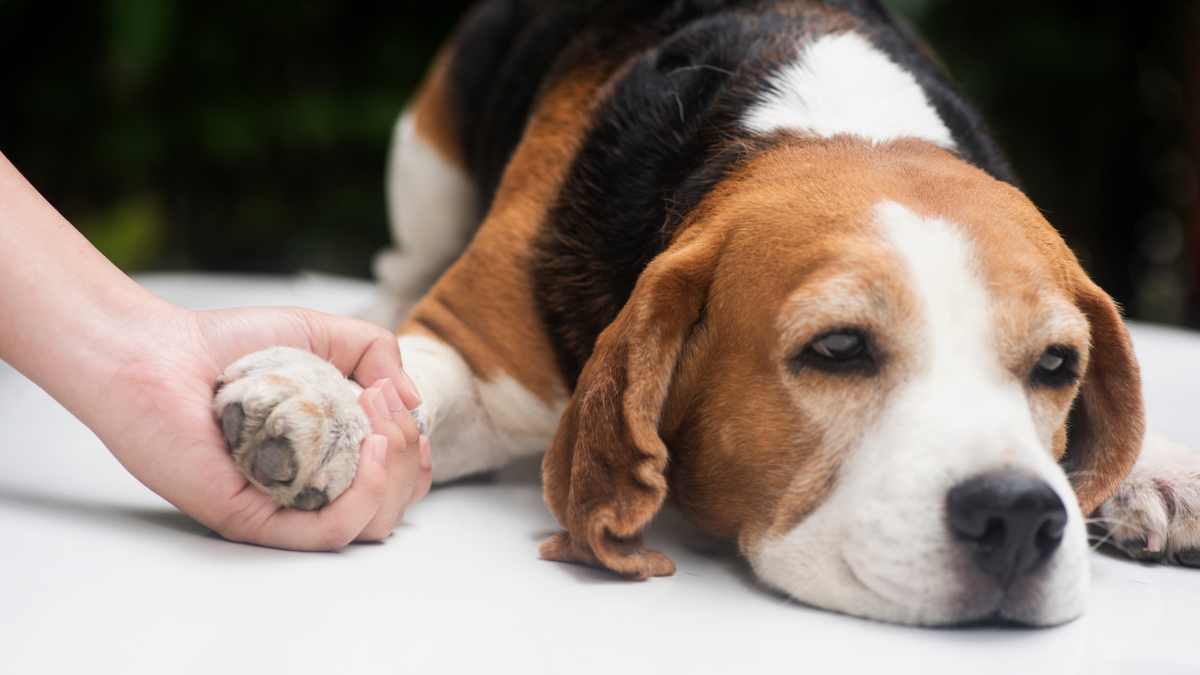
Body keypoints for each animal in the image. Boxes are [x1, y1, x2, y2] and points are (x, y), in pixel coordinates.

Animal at [211, 0, 1200, 624]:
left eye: (1058, 365)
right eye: (837, 347)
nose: (1019, 519)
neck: (824, 121)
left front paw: (1154, 466)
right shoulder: (478, 353)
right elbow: (410, 376)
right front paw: (320, 398)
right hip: (426, 155)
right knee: (400, 264)